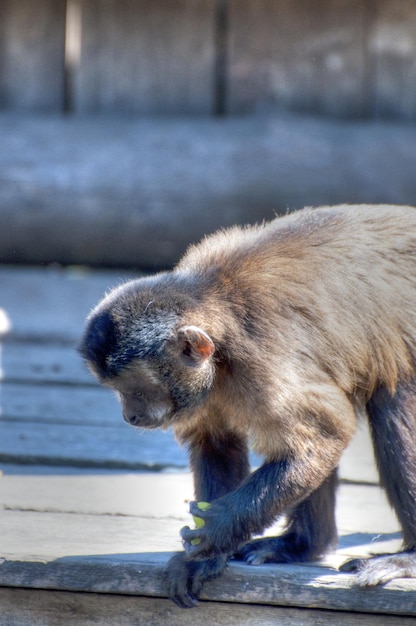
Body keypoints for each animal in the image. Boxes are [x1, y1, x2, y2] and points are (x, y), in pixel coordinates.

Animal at [80, 207, 416, 608]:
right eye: (119, 390)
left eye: (138, 390)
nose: (129, 414)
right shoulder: (208, 390)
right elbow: (218, 445)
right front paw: (203, 559)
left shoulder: (263, 363)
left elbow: (324, 439)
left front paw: (216, 530)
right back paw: (302, 546)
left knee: (390, 410)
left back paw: (407, 558)